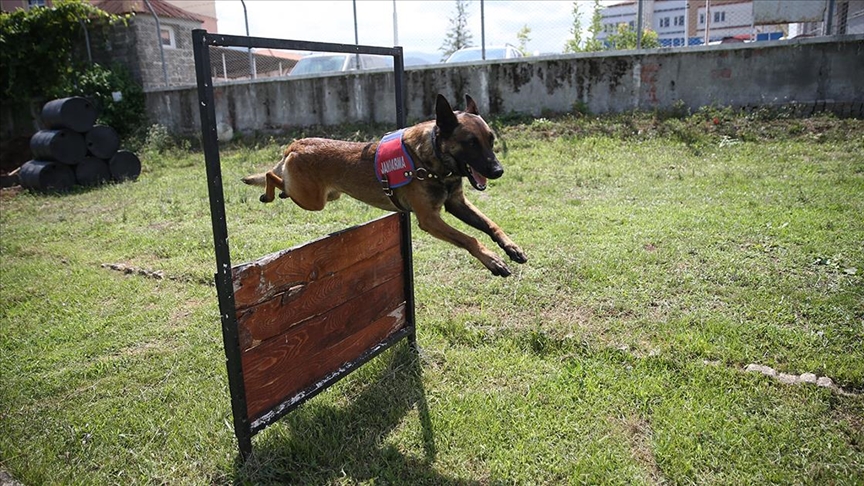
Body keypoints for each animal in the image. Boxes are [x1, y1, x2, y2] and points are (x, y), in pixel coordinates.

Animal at [243, 94, 528, 278]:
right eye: (471, 143)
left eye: (491, 140)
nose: (498, 171)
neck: (430, 159)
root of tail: (297, 143)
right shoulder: (430, 219)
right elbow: (469, 238)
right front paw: (492, 260)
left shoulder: (457, 203)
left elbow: (491, 225)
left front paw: (511, 247)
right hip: (313, 201)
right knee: (271, 174)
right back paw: (269, 193)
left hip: (324, 197)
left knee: (279, 178)